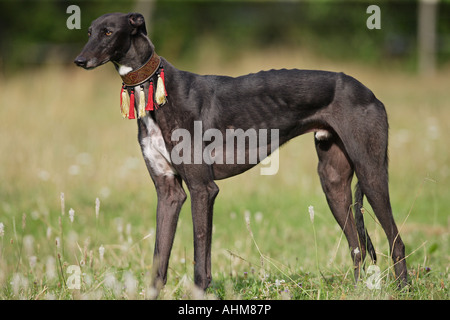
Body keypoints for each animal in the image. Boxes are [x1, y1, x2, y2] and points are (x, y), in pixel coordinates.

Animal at [76, 12, 408, 292]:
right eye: (89, 32)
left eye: (108, 32)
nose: (80, 60)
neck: (156, 91)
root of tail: (368, 92)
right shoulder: (169, 192)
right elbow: (159, 262)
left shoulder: (203, 189)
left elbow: (201, 260)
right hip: (333, 182)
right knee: (357, 246)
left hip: (371, 172)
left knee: (395, 241)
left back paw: (403, 288)